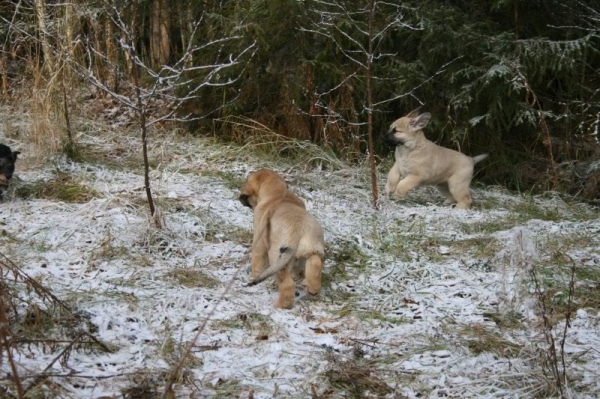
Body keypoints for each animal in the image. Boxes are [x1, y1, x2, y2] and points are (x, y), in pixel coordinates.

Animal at [238, 169, 324, 310]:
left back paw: (281, 305)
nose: (239, 198)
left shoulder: (259, 237)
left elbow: (257, 258)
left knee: (287, 284)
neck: (278, 194)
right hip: (313, 247)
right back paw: (313, 288)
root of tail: (297, 230)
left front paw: (252, 274)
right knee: (315, 264)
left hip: (277, 256)